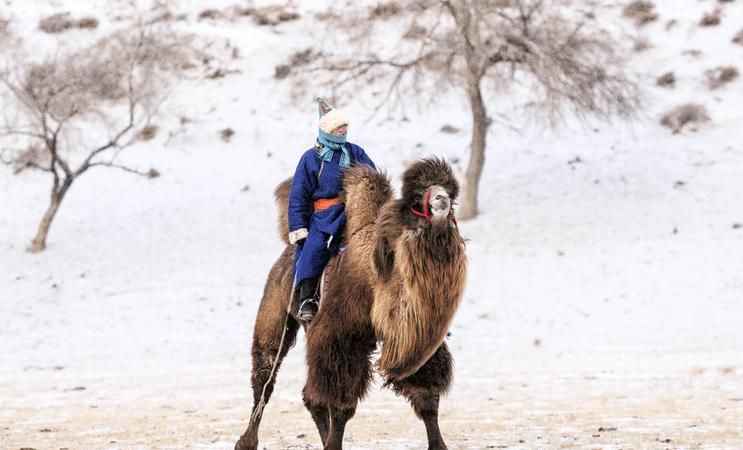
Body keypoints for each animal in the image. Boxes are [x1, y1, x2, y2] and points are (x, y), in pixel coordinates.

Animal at [235, 158, 468, 450]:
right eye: (416, 198)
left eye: (452, 194)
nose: (441, 200)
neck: (377, 280)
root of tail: (285, 257)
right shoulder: (341, 336)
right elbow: (341, 405)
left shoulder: (417, 341)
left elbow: (427, 396)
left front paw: (439, 445)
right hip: (275, 308)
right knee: (265, 375)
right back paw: (246, 440)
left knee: (309, 396)